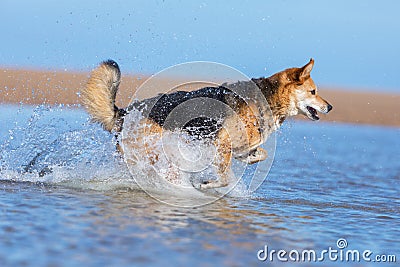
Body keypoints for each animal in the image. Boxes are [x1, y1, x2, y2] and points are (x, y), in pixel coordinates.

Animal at [80, 59, 332, 188]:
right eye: (313, 92)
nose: (330, 107)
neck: (267, 99)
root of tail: (124, 114)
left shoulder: (238, 148)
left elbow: (260, 154)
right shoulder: (222, 144)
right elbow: (226, 179)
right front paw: (207, 184)